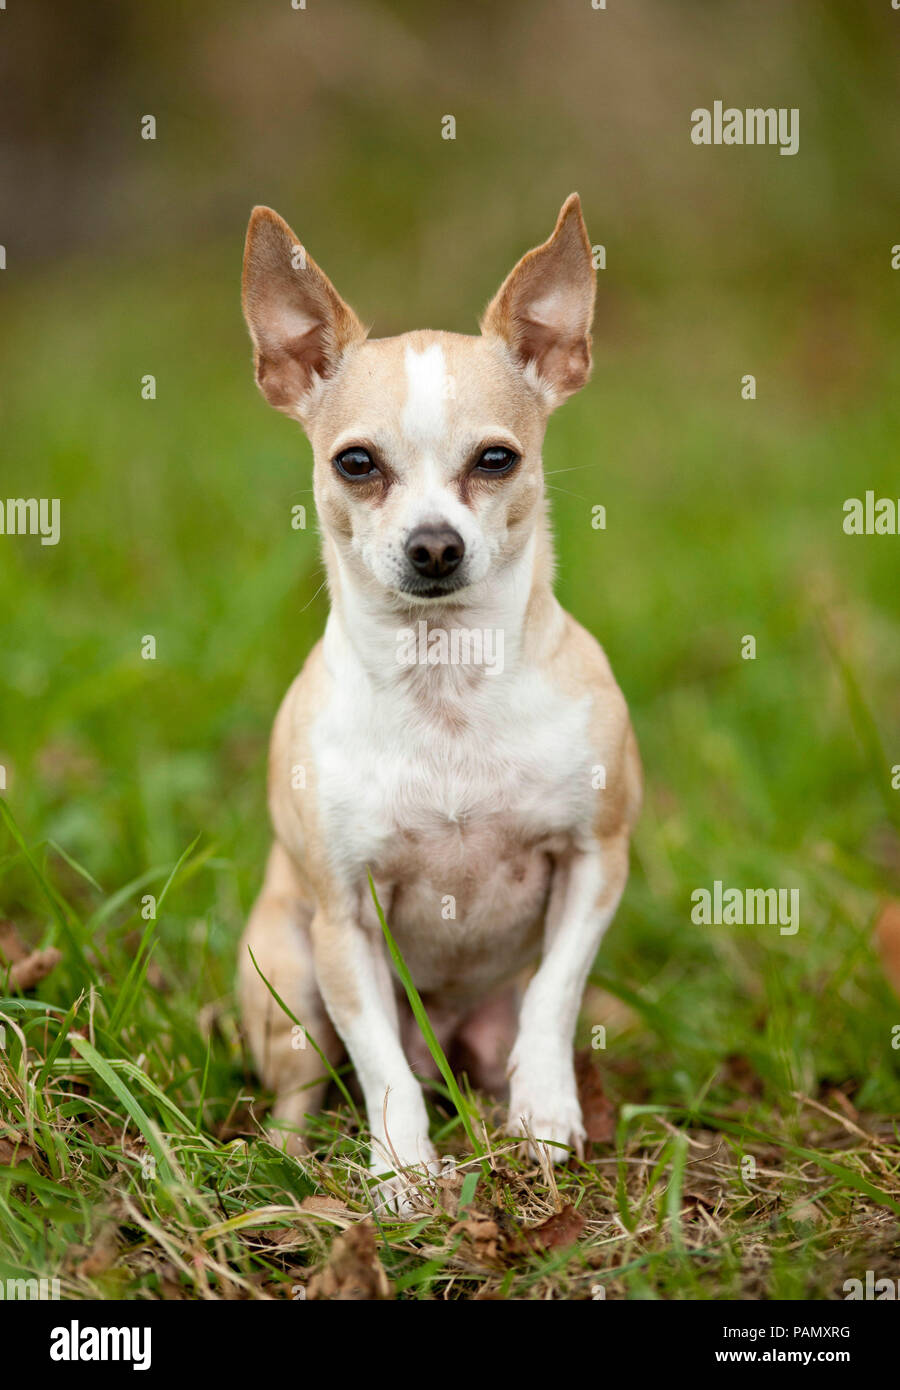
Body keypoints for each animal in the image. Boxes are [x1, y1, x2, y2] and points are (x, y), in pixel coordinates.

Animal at [239, 190, 645, 1212]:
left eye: (496, 460)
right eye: (356, 464)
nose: (433, 545)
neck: (447, 684)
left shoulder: (595, 864)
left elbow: (553, 997)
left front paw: (546, 1116)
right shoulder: (343, 921)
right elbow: (378, 1059)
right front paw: (403, 1171)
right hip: (286, 983)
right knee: (318, 1077)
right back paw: (289, 1161)